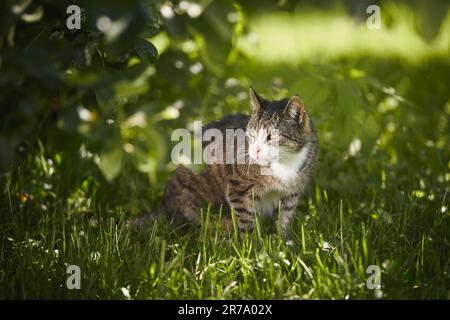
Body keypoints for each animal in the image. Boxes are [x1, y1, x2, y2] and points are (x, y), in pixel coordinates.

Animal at [160, 87, 318, 232]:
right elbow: (246, 221)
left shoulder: (292, 193)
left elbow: (283, 219)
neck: (285, 162)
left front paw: (283, 241)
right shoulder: (239, 189)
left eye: (271, 136)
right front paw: (252, 243)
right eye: (252, 134)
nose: (256, 150)